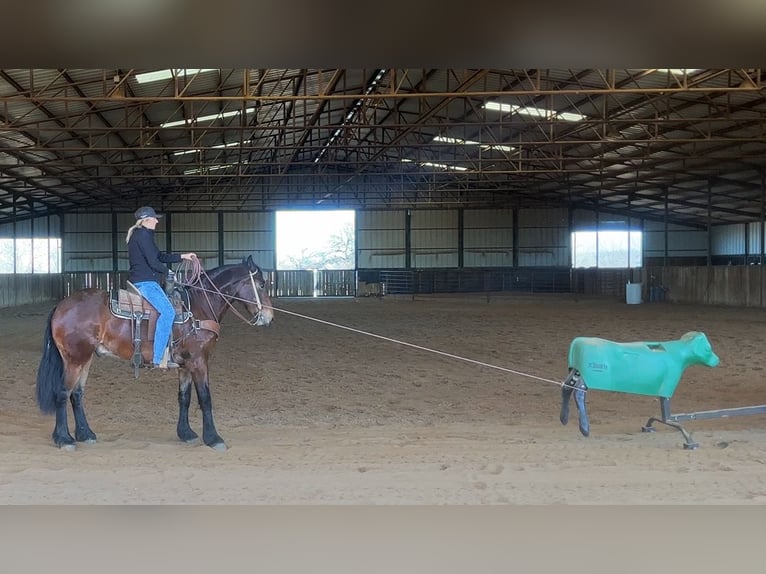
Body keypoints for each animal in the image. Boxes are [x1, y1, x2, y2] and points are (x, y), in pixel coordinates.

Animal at [36, 258, 276, 452]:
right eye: (261, 284)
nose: (269, 317)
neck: (198, 306)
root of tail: (61, 306)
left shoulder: (185, 365)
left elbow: (185, 397)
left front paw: (186, 433)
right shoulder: (199, 361)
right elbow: (205, 398)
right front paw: (214, 438)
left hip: (86, 358)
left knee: (77, 394)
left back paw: (85, 434)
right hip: (74, 360)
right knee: (62, 393)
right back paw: (64, 439)